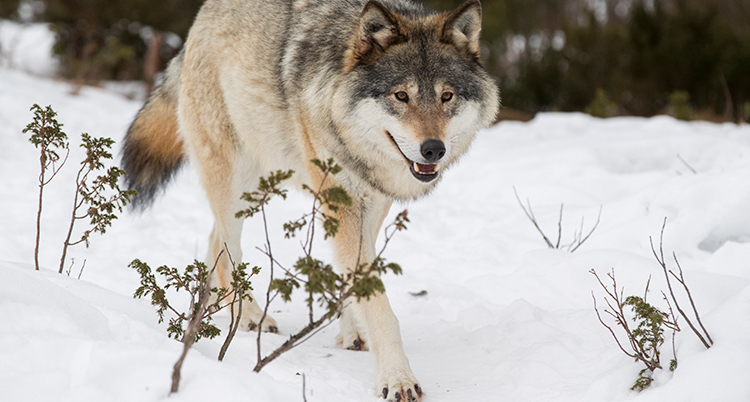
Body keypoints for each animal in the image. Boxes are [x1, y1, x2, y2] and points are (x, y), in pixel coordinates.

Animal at [122, 0, 500, 398]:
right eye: (401, 96)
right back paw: (249, 316)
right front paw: (397, 379)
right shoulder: (342, 201)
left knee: (213, 241)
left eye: (447, 96)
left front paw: (353, 332)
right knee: (227, 248)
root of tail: (202, 16)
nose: (433, 149)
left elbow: (354, 278)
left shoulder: (371, 204)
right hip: (236, 182)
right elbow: (379, 305)